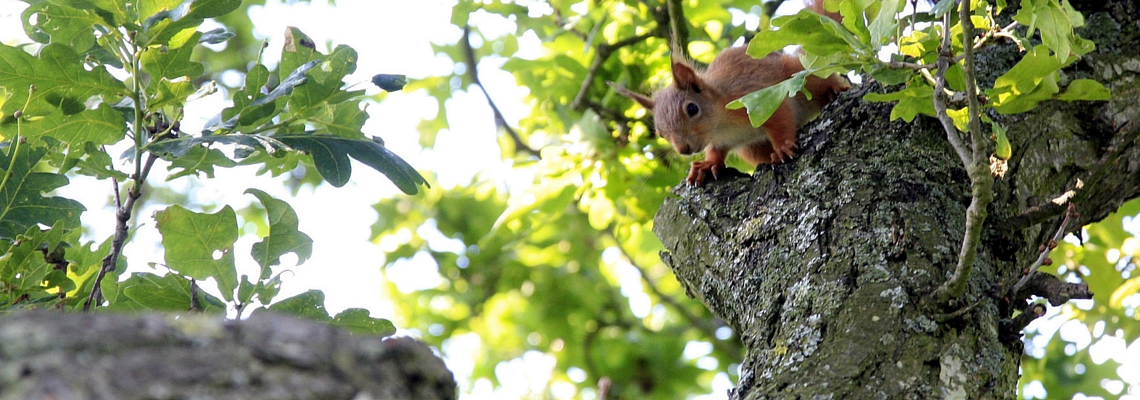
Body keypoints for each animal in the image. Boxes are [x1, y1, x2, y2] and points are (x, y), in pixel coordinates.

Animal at [612, 0, 849, 185]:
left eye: (692, 108)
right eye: (660, 133)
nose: (684, 149)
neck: (722, 126)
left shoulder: (758, 98)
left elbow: (779, 120)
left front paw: (782, 147)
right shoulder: (721, 141)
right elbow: (716, 152)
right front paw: (706, 164)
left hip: (798, 76)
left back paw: (835, 89)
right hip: (752, 149)